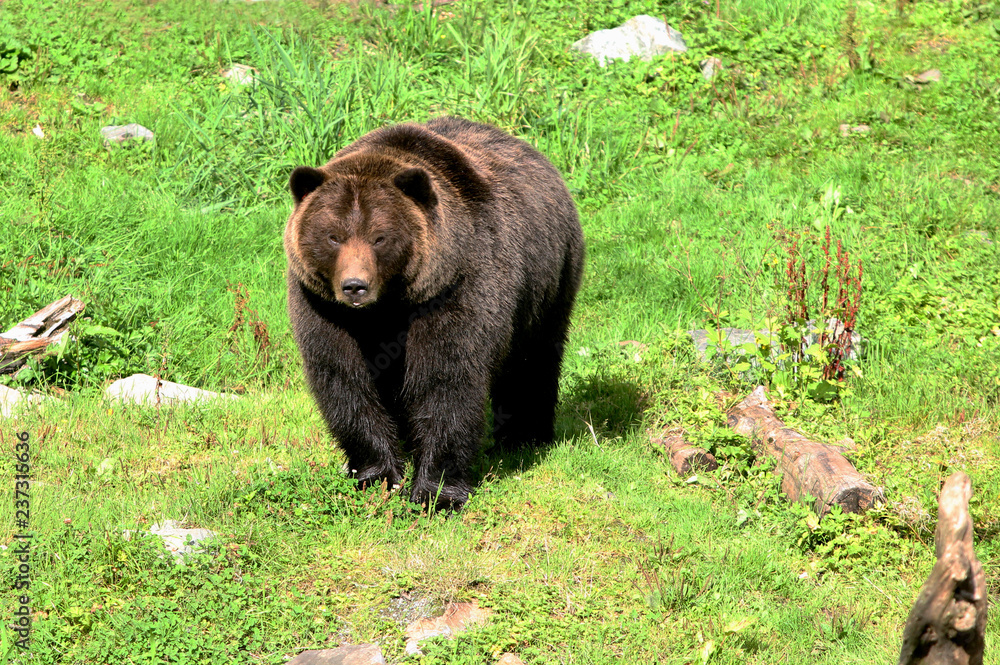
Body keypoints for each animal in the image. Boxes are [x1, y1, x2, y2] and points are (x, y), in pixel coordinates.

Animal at [284, 117, 584, 509]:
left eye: (379, 237)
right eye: (333, 236)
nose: (354, 286)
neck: (389, 305)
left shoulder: (455, 287)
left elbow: (446, 380)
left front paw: (437, 493)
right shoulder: (324, 309)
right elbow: (343, 379)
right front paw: (375, 475)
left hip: (547, 280)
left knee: (533, 358)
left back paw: (526, 436)